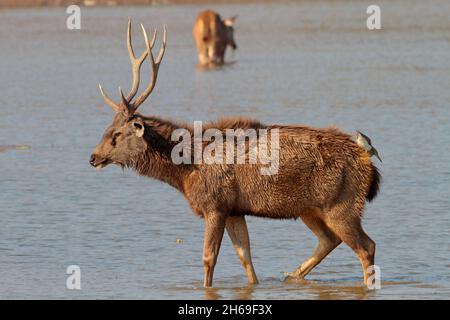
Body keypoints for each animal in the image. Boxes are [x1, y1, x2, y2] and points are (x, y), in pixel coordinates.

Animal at [90, 18, 380, 288]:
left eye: (117, 134)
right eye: (107, 128)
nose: (93, 157)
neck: (185, 171)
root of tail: (368, 161)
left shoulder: (215, 205)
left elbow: (209, 258)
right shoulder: (234, 210)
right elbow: (245, 257)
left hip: (342, 203)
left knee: (366, 247)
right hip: (310, 208)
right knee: (329, 240)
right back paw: (291, 276)